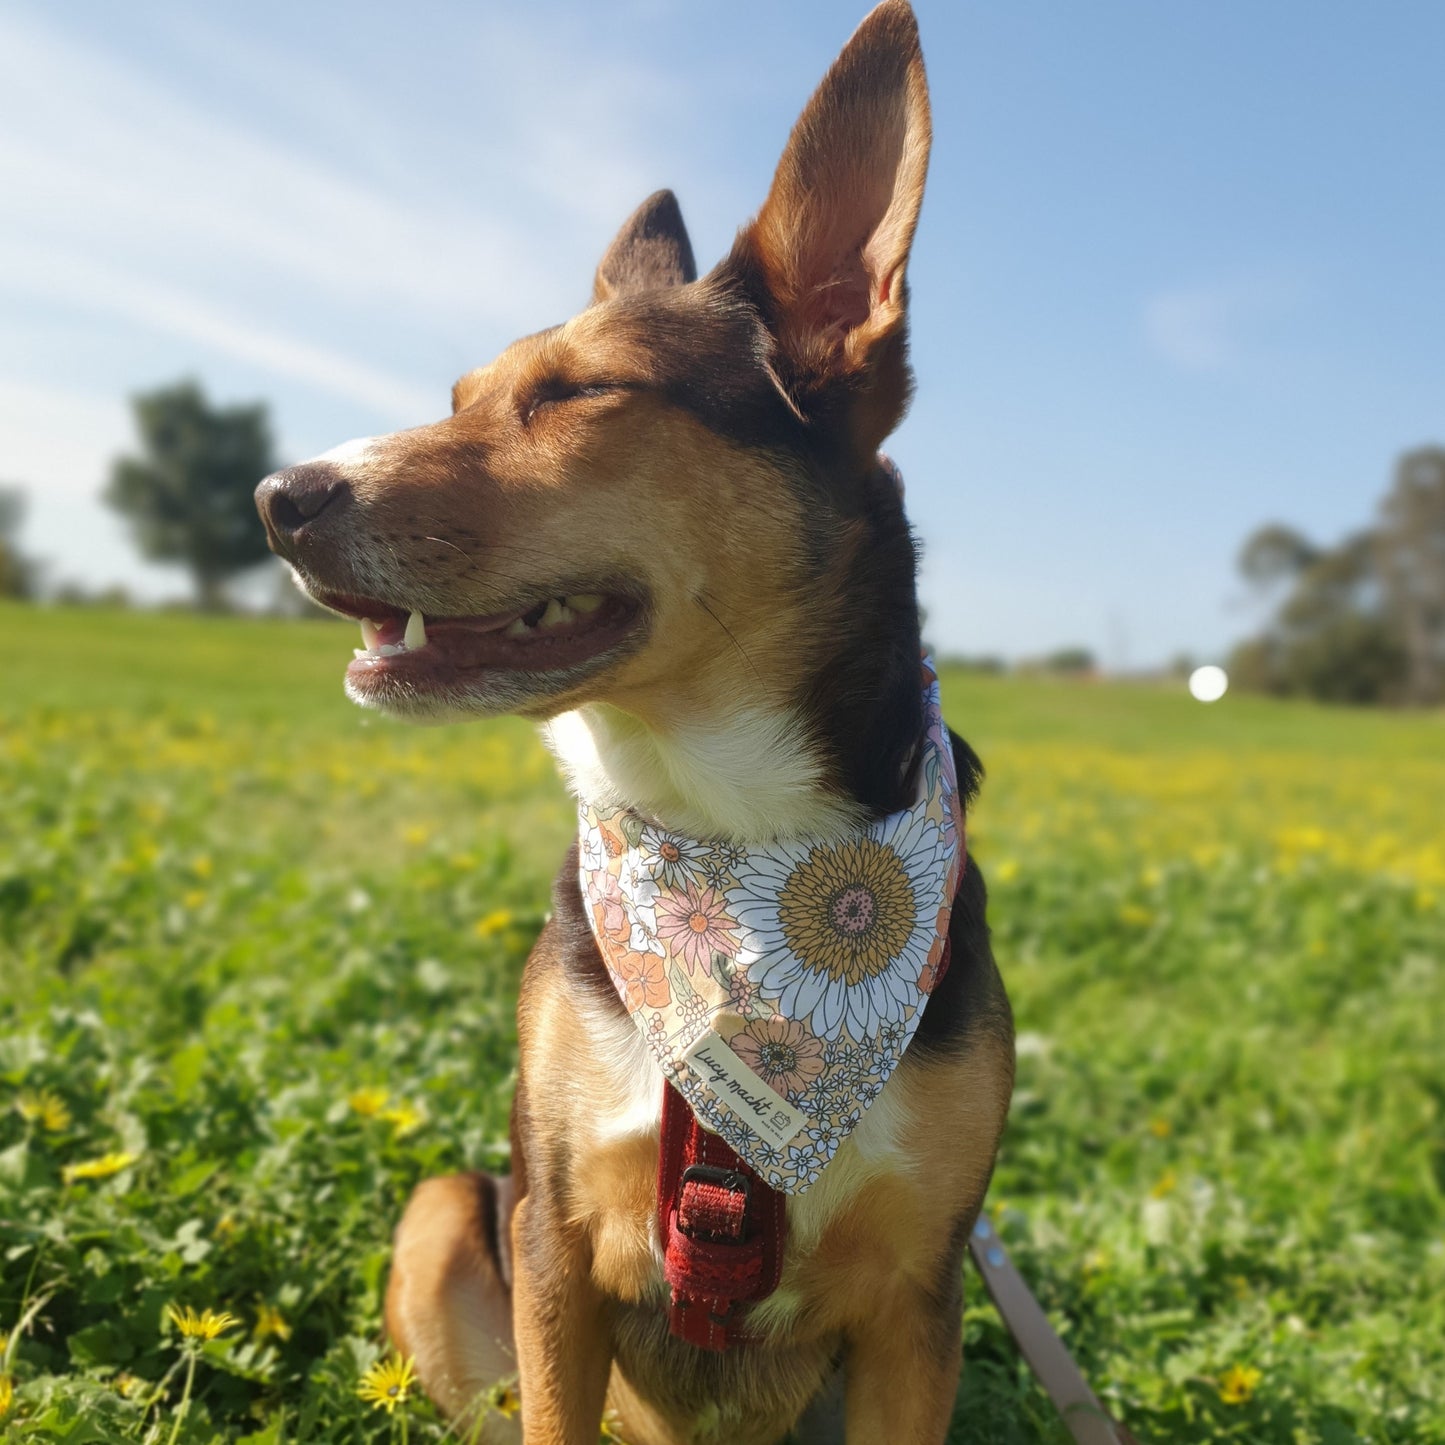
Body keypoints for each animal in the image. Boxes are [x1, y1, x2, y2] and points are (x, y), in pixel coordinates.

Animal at [254, 5, 1011, 1439]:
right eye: (457, 395)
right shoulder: (556, 1240)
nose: (277, 496)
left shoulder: (917, 1302)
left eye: (578, 393)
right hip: (449, 1212)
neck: (734, 846)